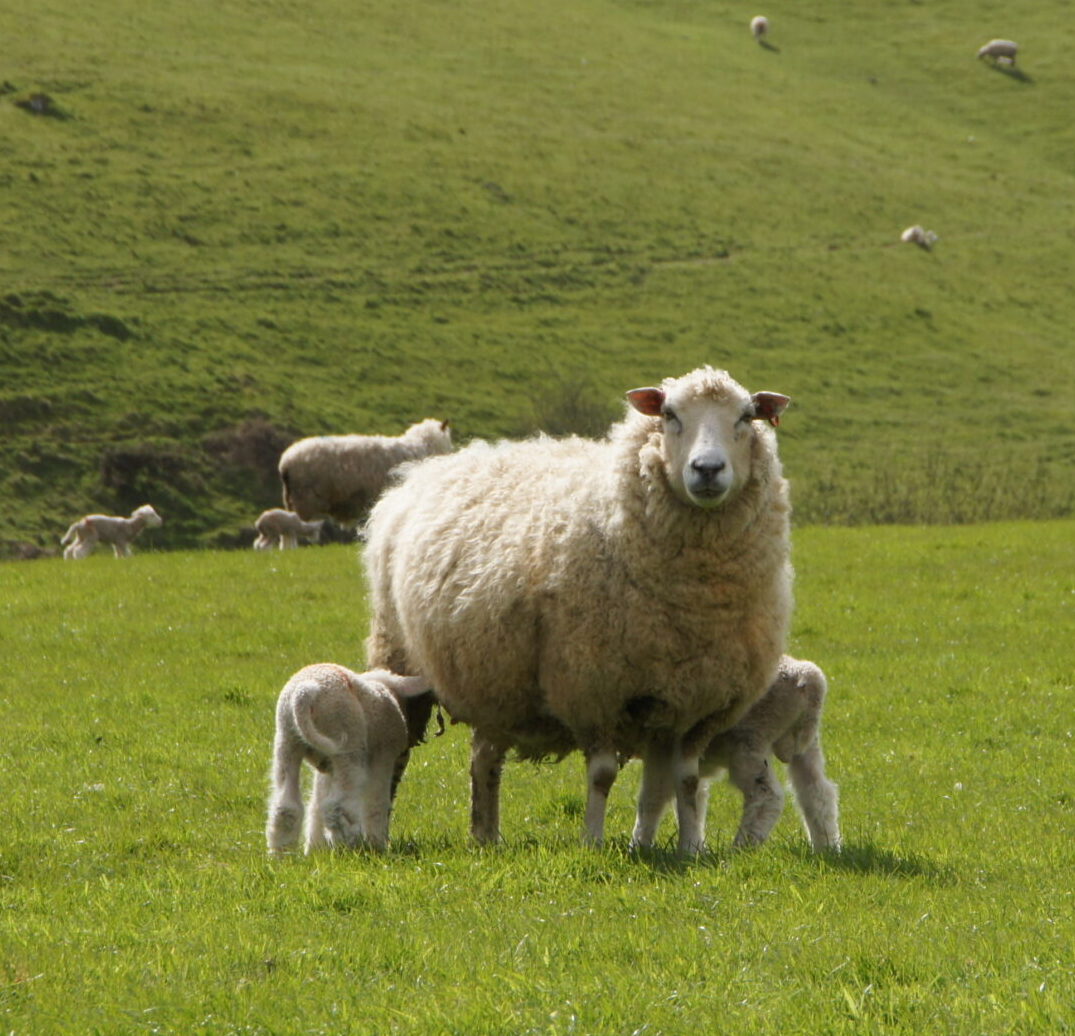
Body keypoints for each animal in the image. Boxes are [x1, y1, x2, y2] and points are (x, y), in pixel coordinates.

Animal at [266, 666, 434, 855]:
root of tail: (303, 694)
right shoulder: (383, 755)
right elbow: (377, 801)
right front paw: (378, 845)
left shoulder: (327, 766)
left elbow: (317, 802)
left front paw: (315, 849)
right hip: (346, 740)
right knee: (338, 807)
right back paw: (350, 848)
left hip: (288, 740)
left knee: (286, 805)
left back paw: (282, 854)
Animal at [365, 367, 795, 855]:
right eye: (669, 415)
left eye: (745, 416)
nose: (707, 469)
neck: (694, 599)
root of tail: (422, 471)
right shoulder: (592, 687)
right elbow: (603, 775)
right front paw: (592, 842)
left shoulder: (702, 702)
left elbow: (686, 780)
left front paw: (691, 848)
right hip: (399, 655)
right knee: (400, 753)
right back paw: (384, 833)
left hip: (493, 680)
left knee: (484, 760)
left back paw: (486, 835)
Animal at [627, 657, 838, 855]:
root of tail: (807, 676)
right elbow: (690, 797)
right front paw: (695, 845)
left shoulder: (660, 746)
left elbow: (653, 798)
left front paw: (639, 846)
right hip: (805, 746)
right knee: (818, 792)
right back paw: (826, 847)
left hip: (748, 742)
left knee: (768, 796)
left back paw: (741, 848)